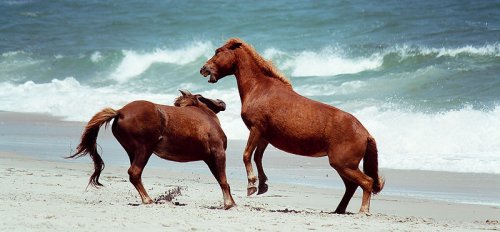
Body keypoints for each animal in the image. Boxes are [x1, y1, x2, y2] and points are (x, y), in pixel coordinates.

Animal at [66, 89, 236, 209]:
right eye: (200, 96)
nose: (221, 102)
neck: (205, 115)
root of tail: (120, 111)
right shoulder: (218, 153)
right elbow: (223, 180)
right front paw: (228, 204)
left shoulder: (208, 158)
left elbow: (221, 179)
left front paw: (232, 202)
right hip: (145, 149)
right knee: (134, 172)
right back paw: (148, 200)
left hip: (133, 151)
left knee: (135, 174)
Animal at [201, 38, 384, 214]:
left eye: (218, 51)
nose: (203, 69)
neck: (259, 89)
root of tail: (365, 133)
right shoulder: (264, 136)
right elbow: (257, 157)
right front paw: (262, 185)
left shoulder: (256, 129)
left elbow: (247, 155)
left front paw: (252, 185)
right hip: (342, 165)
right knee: (351, 186)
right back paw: (339, 210)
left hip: (344, 164)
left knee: (366, 182)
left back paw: (363, 210)